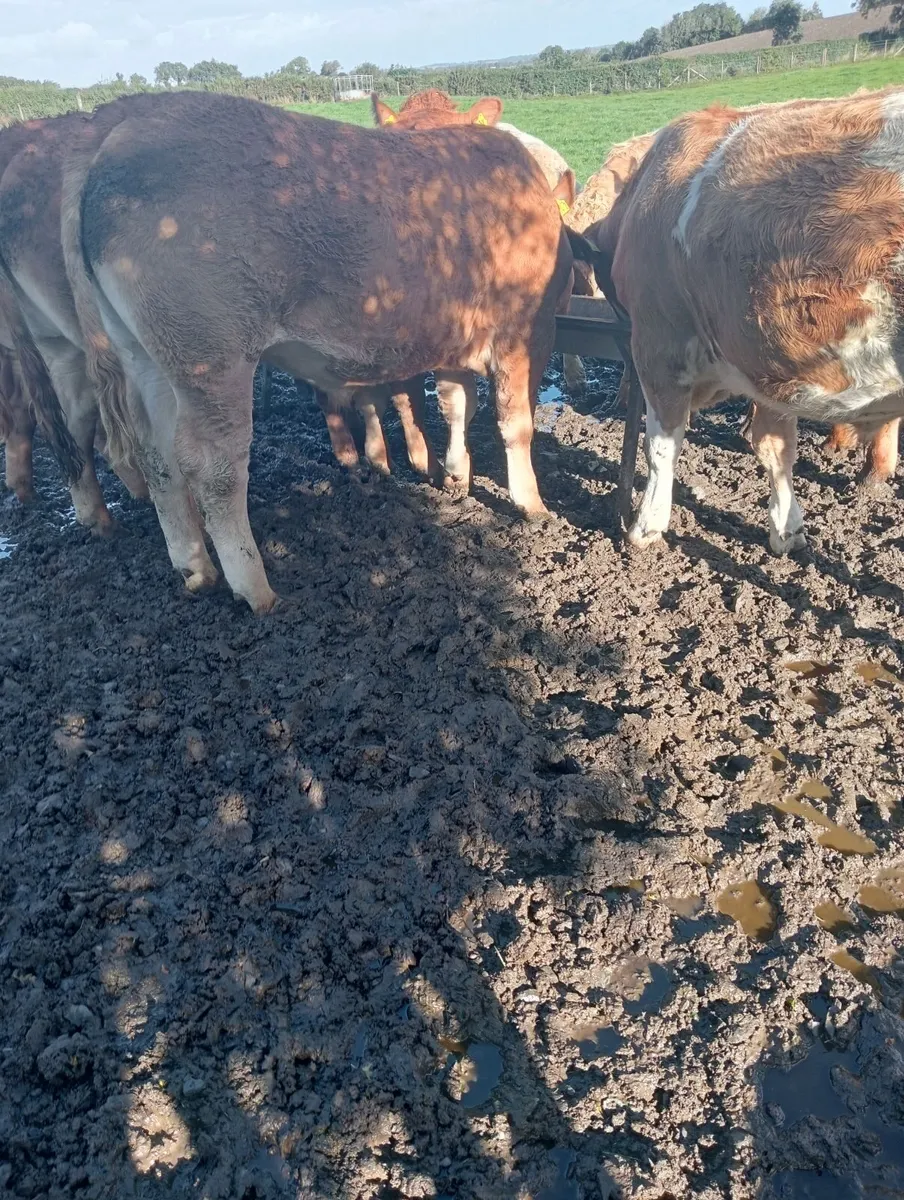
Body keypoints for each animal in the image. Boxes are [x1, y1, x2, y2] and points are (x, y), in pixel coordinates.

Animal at [61, 90, 579, 612]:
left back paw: (195, 567)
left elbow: (457, 405)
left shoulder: (457, 339)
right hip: (210, 358)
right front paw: (531, 503)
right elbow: (516, 423)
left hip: (143, 357)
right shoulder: (526, 331)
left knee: (157, 453)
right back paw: (255, 588)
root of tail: (114, 138)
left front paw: (456, 475)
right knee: (213, 466)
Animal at [591, 89, 904, 556]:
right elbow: (776, 449)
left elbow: (661, 447)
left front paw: (645, 525)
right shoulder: (770, 368)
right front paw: (786, 529)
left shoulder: (660, 348)